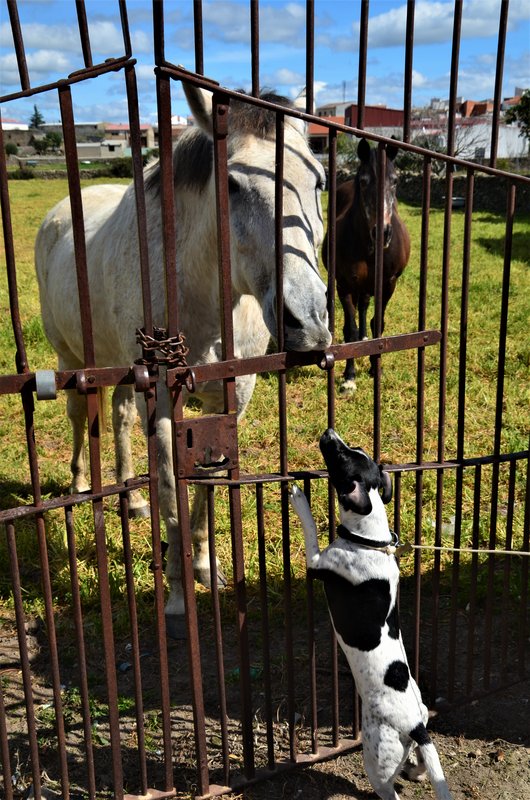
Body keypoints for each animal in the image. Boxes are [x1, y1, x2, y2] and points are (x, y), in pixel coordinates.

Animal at [36, 79, 330, 632]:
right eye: (231, 185)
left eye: (319, 181)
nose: (307, 322)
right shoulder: (164, 406)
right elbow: (174, 487)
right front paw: (175, 590)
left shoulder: (229, 400)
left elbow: (206, 485)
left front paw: (205, 565)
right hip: (71, 360)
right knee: (79, 415)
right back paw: (82, 488)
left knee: (118, 417)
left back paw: (130, 499)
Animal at [288, 432, 450, 800]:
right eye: (355, 449)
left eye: (340, 457)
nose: (330, 432)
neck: (369, 539)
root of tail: (415, 725)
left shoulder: (317, 563)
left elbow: (310, 530)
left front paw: (300, 499)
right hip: (415, 732)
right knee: (422, 759)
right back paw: (416, 769)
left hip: (376, 757)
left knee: (388, 790)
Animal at [322, 138, 408, 394]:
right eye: (363, 181)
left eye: (395, 180)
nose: (382, 233)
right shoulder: (344, 285)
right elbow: (349, 330)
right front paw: (349, 377)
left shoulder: (388, 284)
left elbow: (377, 324)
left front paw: (374, 367)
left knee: (364, 306)